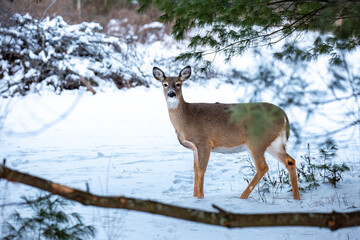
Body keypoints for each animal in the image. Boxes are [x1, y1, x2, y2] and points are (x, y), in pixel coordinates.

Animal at [153, 65, 300, 201]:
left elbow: (201, 170)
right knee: (289, 161)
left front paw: (200, 198)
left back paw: (242, 197)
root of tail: (283, 114)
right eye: (165, 84)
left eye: (179, 83)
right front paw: (194, 197)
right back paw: (296, 198)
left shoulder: (204, 142)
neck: (187, 118)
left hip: (256, 141)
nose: (171, 94)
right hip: (273, 143)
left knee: (263, 167)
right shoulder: (194, 148)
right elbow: (195, 170)